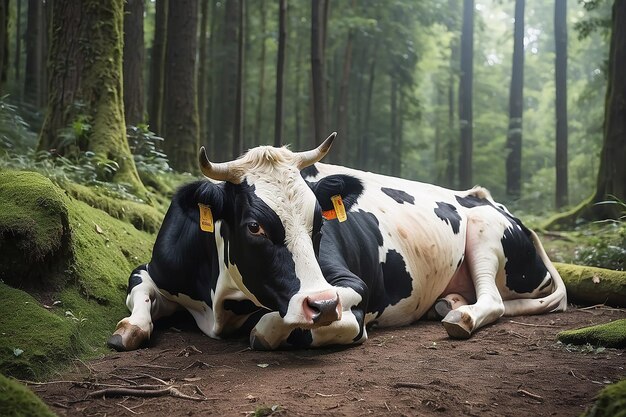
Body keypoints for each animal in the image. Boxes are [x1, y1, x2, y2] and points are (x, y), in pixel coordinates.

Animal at [107, 134, 564, 352]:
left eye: (318, 222)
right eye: (254, 227)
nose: (322, 303)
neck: (221, 301)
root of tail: (484, 197)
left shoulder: (348, 290)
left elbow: (278, 327)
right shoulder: (157, 267)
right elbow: (138, 287)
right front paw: (129, 328)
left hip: (485, 233)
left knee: (494, 302)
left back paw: (462, 315)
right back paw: (449, 303)